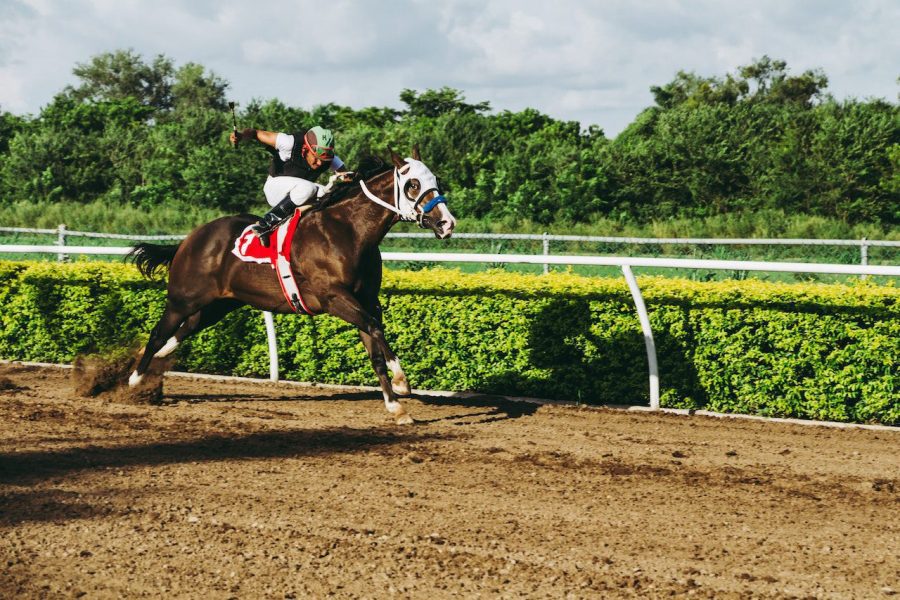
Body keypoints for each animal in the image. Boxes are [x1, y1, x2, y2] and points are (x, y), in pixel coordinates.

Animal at [126, 148, 456, 424]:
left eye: (436, 180)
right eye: (413, 184)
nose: (447, 223)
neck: (349, 231)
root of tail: (190, 239)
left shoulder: (367, 301)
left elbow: (375, 345)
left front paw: (396, 407)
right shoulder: (334, 298)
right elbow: (375, 329)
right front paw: (401, 383)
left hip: (218, 305)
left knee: (181, 332)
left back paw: (153, 361)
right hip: (182, 299)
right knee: (158, 333)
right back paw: (135, 380)